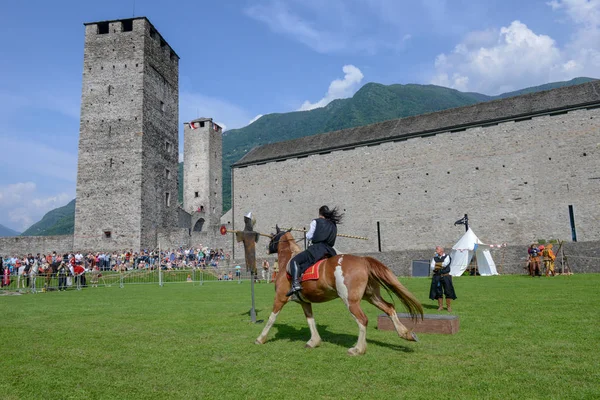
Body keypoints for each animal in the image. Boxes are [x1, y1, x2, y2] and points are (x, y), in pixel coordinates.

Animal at [255, 228, 424, 356]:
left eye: (272, 237)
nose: (266, 249)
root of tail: (363, 260)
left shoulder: (280, 298)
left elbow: (271, 318)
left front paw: (260, 338)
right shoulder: (305, 302)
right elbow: (311, 320)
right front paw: (314, 341)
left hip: (350, 301)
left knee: (362, 320)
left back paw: (358, 349)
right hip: (371, 297)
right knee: (389, 308)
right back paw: (405, 334)